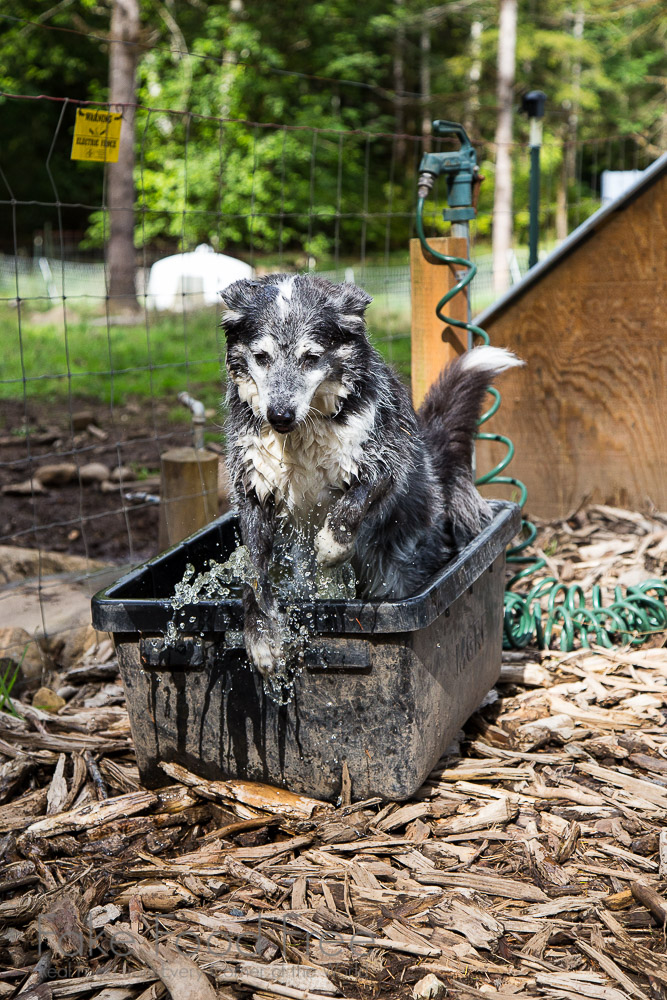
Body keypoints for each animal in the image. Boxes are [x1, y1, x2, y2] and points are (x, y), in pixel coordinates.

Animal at [222, 274, 524, 680]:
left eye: (311, 357)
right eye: (261, 357)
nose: (279, 416)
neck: (303, 433)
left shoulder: (385, 462)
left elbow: (353, 502)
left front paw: (332, 546)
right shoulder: (254, 489)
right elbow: (254, 574)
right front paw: (260, 639)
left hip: (398, 571)